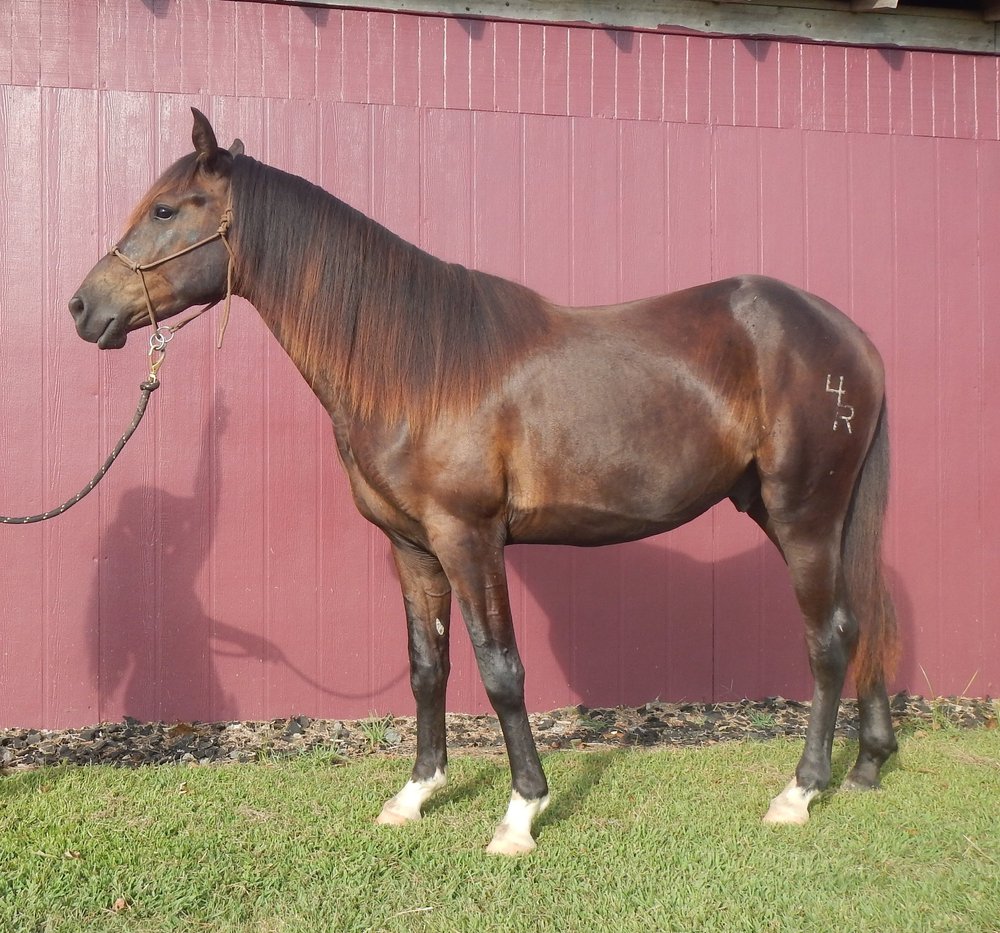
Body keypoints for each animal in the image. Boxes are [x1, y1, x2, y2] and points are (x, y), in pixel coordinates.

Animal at [69, 109, 898, 855]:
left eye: (167, 208)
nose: (83, 306)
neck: (414, 363)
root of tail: (849, 338)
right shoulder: (412, 547)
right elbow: (427, 666)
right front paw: (415, 792)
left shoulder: (468, 537)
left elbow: (500, 670)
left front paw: (521, 813)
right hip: (803, 514)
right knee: (862, 619)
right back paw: (868, 764)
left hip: (804, 514)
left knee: (828, 637)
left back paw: (799, 791)